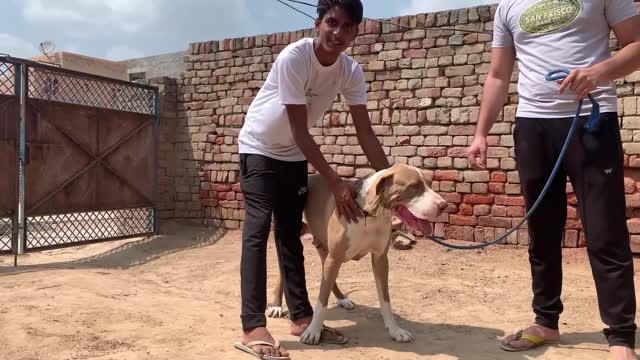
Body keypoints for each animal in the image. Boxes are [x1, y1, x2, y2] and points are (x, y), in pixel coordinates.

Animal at [264, 163, 444, 344]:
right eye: (414, 186)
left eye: (430, 184)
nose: (443, 205)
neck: (370, 215)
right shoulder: (335, 258)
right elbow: (322, 301)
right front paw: (313, 331)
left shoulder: (380, 259)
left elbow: (385, 299)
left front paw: (395, 330)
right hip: (294, 237)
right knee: (284, 270)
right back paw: (276, 306)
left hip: (326, 249)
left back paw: (342, 299)